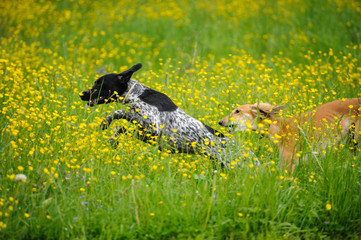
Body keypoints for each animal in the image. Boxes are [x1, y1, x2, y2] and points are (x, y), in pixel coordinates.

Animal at [80, 62, 258, 166]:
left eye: (99, 83)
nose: (82, 94)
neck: (139, 94)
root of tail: (250, 155)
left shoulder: (151, 127)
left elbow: (120, 114)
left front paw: (108, 126)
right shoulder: (147, 134)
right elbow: (120, 122)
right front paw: (111, 134)